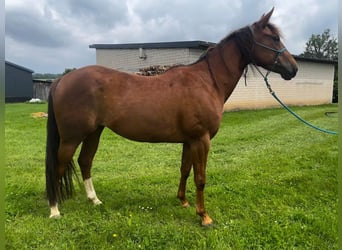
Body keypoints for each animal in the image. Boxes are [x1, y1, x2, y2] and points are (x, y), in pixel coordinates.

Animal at [45, 8, 296, 226]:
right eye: (274, 38)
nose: (293, 69)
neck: (207, 81)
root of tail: (62, 79)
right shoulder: (201, 140)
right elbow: (200, 178)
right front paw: (204, 216)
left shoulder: (189, 141)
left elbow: (185, 170)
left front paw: (183, 201)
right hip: (71, 138)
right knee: (58, 166)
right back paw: (55, 210)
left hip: (94, 132)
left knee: (85, 162)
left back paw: (94, 200)